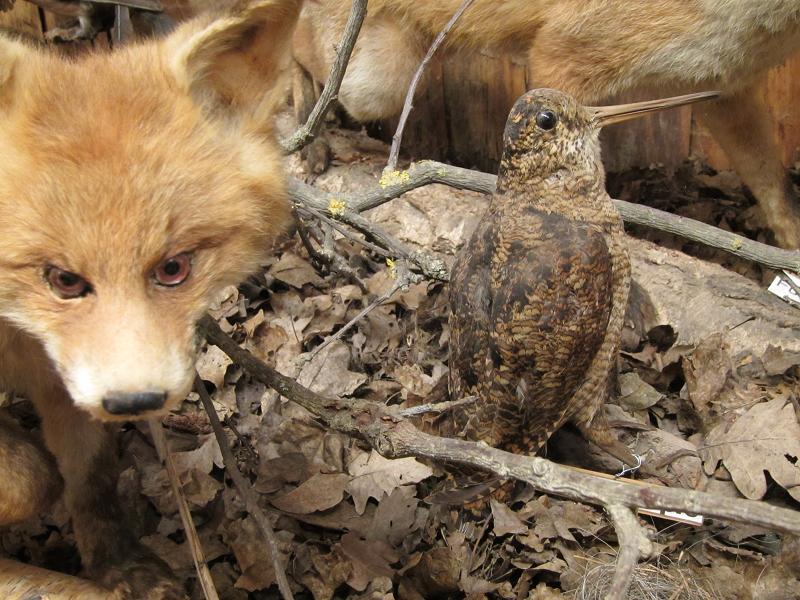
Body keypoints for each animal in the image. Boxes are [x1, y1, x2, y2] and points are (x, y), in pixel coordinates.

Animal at [0, 0, 300, 597]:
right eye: (63, 280)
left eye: (173, 268)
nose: (135, 402)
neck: (8, 337)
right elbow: (32, 477)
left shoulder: (64, 378)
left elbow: (87, 476)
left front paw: (117, 566)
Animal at [293, 0, 800, 249]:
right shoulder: (564, 54)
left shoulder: (721, 82)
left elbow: (774, 190)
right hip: (375, 83)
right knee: (300, 47)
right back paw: (305, 136)